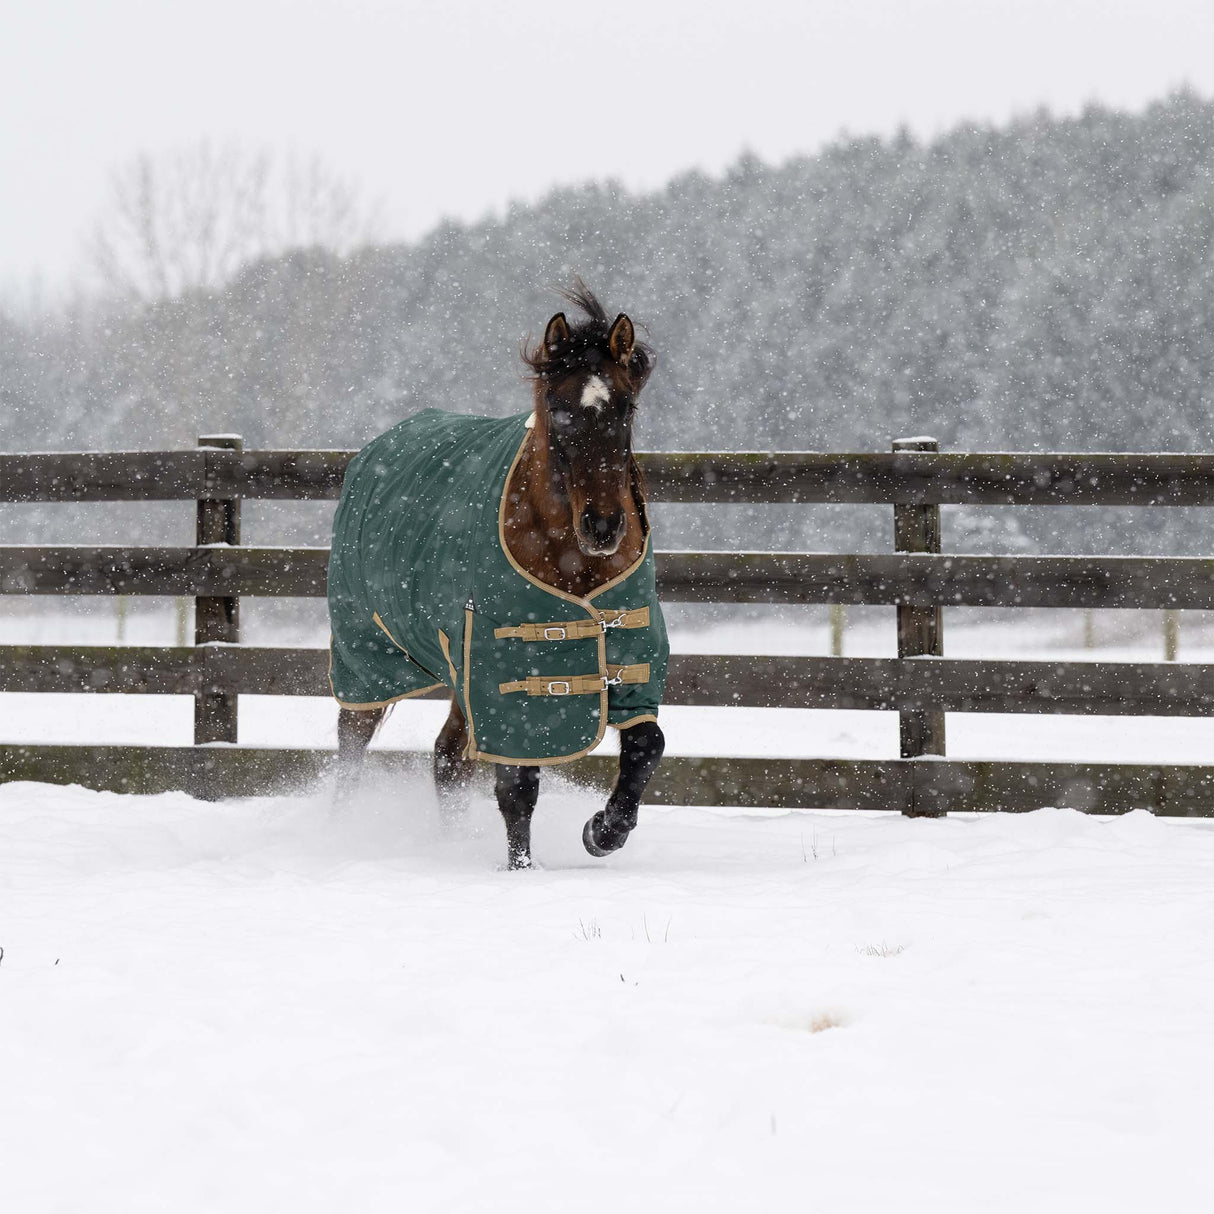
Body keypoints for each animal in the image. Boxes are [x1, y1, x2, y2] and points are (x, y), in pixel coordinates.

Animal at [329, 282, 667, 869]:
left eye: (626, 406)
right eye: (557, 409)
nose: (603, 526)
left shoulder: (630, 654)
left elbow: (647, 745)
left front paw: (602, 831)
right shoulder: (503, 672)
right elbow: (517, 786)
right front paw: (521, 870)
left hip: (455, 670)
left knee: (446, 758)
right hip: (371, 657)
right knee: (352, 750)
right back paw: (339, 832)